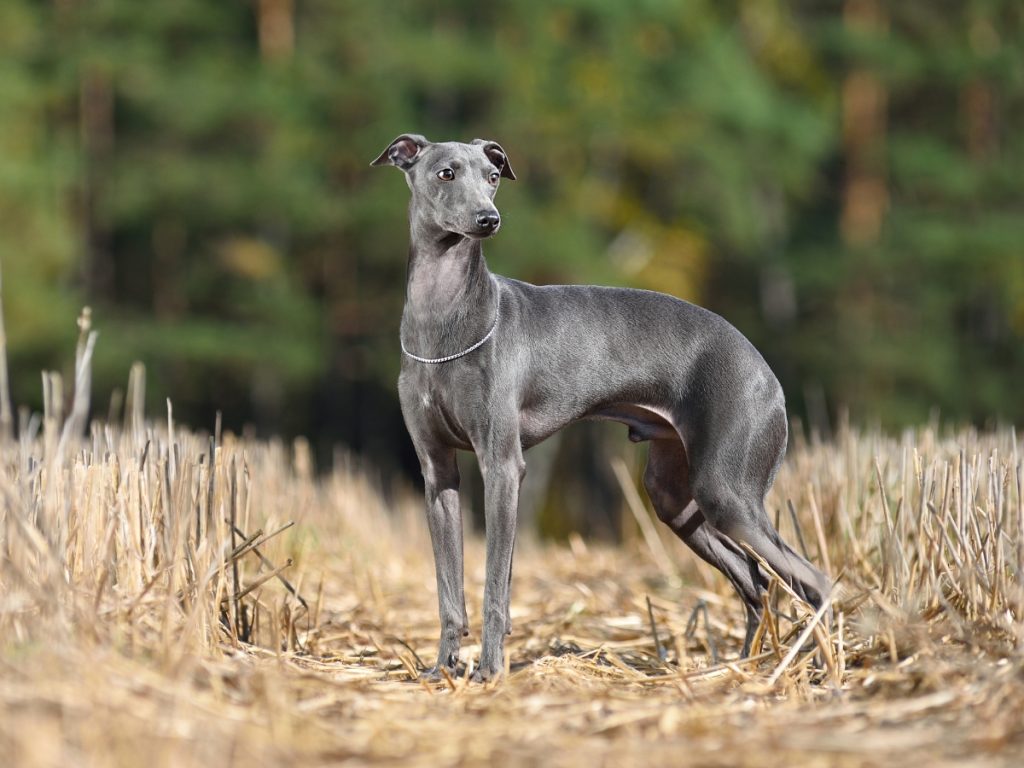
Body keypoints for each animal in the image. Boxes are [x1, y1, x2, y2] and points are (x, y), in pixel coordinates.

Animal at [372, 135, 827, 684]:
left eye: (493, 176)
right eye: (445, 173)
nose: (488, 219)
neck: (443, 320)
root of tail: (766, 372)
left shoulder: (502, 467)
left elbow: (496, 587)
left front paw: (490, 671)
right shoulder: (438, 474)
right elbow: (447, 590)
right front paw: (442, 669)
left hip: (727, 492)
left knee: (813, 579)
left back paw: (825, 668)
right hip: (676, 499)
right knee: (754, 578)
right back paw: (743, 669)